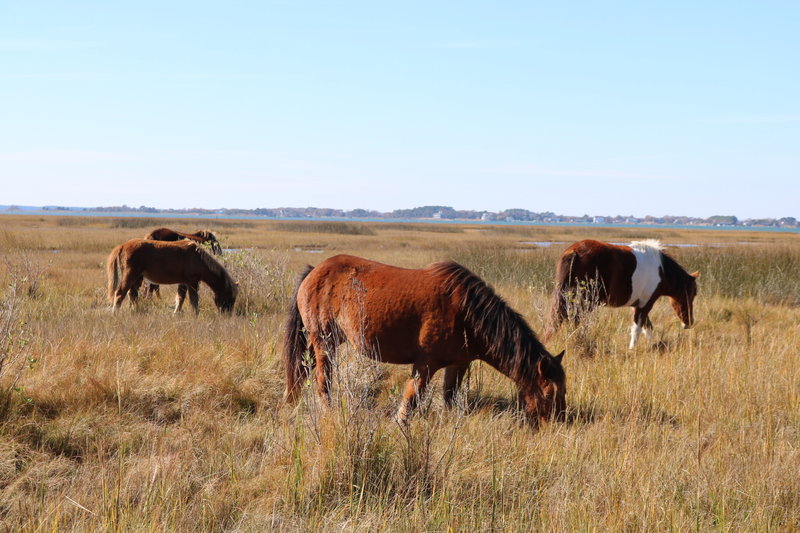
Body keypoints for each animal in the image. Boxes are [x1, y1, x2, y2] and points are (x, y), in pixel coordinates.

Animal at [107, 239, 238, 314]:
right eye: (230, 297)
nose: (227, 315)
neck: (199, 258)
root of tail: (122, 246)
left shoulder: (184, 282)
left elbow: (180, 297)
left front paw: (176, 313)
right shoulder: (192, 282)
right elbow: (194, 300)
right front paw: (195, 315)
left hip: (136, 277)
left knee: (132, 294)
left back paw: (135, 310)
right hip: (130, 275)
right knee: (120, 293)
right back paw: (115, 313)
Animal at [284, 254, 564, 424]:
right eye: (549, 393)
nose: (558, 423)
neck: (468, 313)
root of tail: (315, 272)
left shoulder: (458, 364)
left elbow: (449, 395)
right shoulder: (425, 364)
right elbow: (412, 396)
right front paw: (400, 422)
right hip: (325, 344)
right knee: (323, 381)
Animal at [548, 238, 696, 348]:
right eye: (691, 295)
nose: (689, 322)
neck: (662, 271)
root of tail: (574, 252)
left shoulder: (637, 306)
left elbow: (647, 327)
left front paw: (654, 345)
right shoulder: (645, 304)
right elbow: (637, 328)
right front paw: (632, 349)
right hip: (585, 303)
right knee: (576, 321)